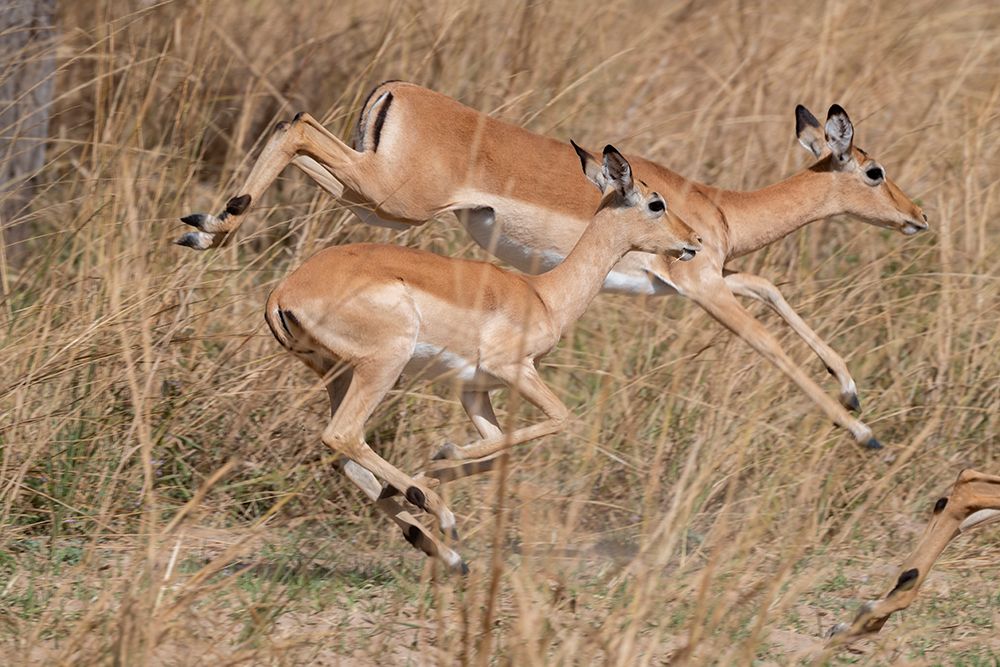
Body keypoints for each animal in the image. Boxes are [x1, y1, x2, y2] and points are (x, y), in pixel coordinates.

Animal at [179, 82, 929, 448]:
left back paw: (208, 226)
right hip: (392, 199)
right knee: (297, 125)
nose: (918, 215)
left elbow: (771, 289)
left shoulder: (702, 279)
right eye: (874, 170)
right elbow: (768, 344)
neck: (718, 208)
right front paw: (863, 431)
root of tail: (397, 89)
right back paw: (208, 228)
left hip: (377, 203)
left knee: (296, 132)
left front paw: (853, 391)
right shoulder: (702, 284)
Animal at [263, 145, 703, 570]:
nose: (694, 241)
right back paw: (440, 515)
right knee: (342, 435)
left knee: (343, 456)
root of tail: (283, 292)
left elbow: (498, 449)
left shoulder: (474, 389)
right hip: (383, 364)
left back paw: (447, 551)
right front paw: (442, 457)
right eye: (656, 203)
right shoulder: (512, 369)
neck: (543, 297)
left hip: (339, 373)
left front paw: (431, 468)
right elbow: (560, 419)